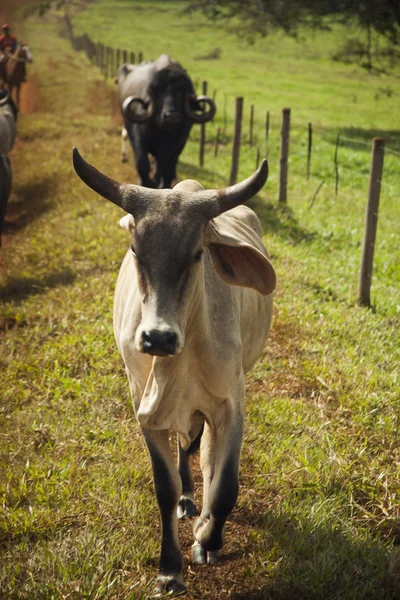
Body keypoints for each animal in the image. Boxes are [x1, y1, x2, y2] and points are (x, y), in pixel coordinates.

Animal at [72, 148, 276, 592]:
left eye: (197, 254)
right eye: (136, 250)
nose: (158, 338)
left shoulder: (231, 402)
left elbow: (226, 485)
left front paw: (207, 539)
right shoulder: (144, 405)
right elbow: (165, 485)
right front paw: (170, 567)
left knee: (205, 453)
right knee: (188, 450)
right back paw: (188, 500)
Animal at [117, 56, 216, 189]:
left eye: (180, 92)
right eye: (159, 93)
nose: (171, 117)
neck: (161, 131)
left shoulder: (179, 141)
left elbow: (166, 167)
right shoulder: (137, 132)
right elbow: (142, 163)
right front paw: (146, 183)